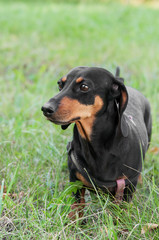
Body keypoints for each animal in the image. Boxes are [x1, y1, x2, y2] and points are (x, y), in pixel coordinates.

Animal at [41, 66, 152, 218]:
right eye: (60, 84)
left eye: (84, 86)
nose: (45, 108)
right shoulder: (75, 181)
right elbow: (76, 208)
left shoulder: (127, 187)